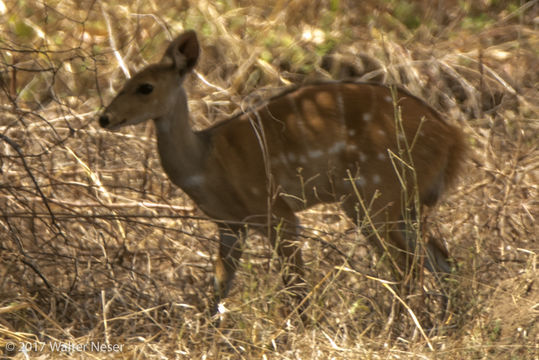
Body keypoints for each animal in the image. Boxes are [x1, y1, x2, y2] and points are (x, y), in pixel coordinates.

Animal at [99, 30, 466, 318]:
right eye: (125, 82)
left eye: (145, 87)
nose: (105, 118)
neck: (205, 163)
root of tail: (452, 139)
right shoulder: (230, 225)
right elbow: (219, 288)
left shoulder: (277, 213)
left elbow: (296, 285)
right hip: (402, 204)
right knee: (442, 261)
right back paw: (447, 323)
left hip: (374, 197)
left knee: (407, 267)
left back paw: (400, 329)